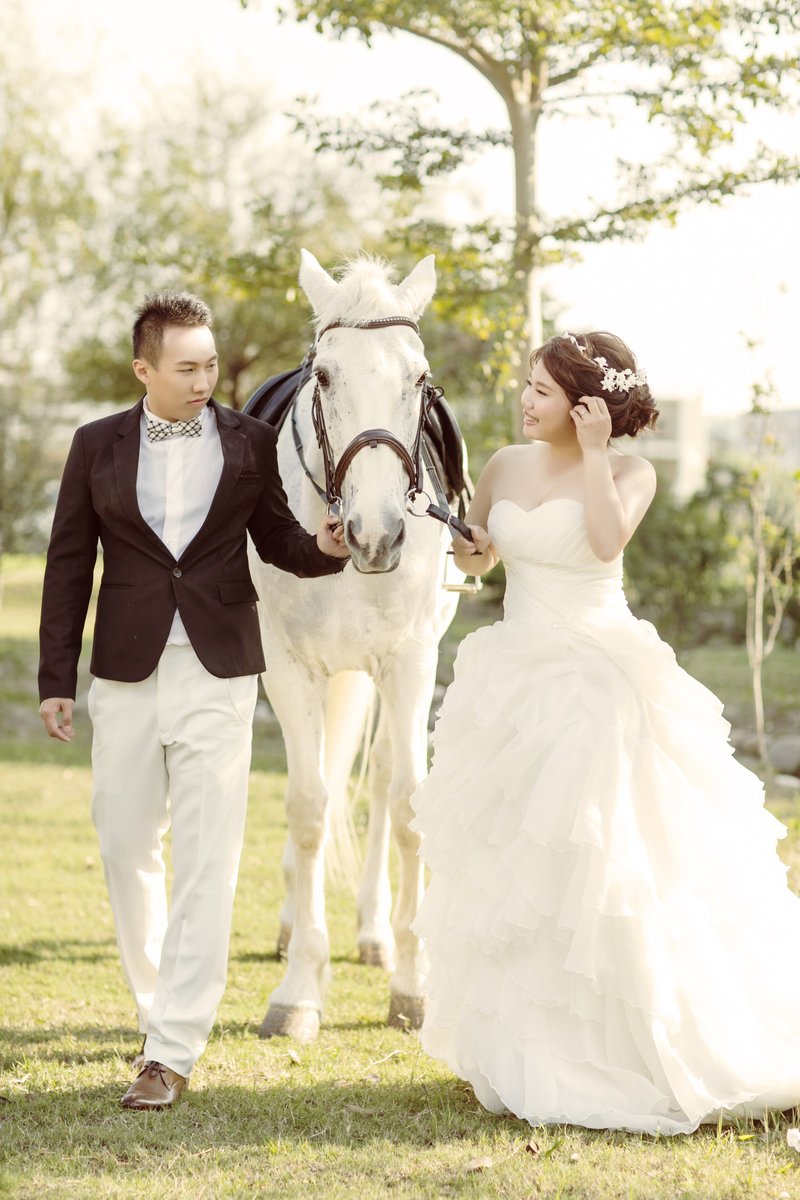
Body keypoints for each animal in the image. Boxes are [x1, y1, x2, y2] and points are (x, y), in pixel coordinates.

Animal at [247, 249, 468, 1040]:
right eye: (325, 377)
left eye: (419, 378)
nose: (376, 535)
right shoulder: (285, 667)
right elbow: (308, 805)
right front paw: (297, 991)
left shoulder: (409, 663)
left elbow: (406, 807)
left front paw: (413, 985)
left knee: (375, 781)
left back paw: (375, 933)